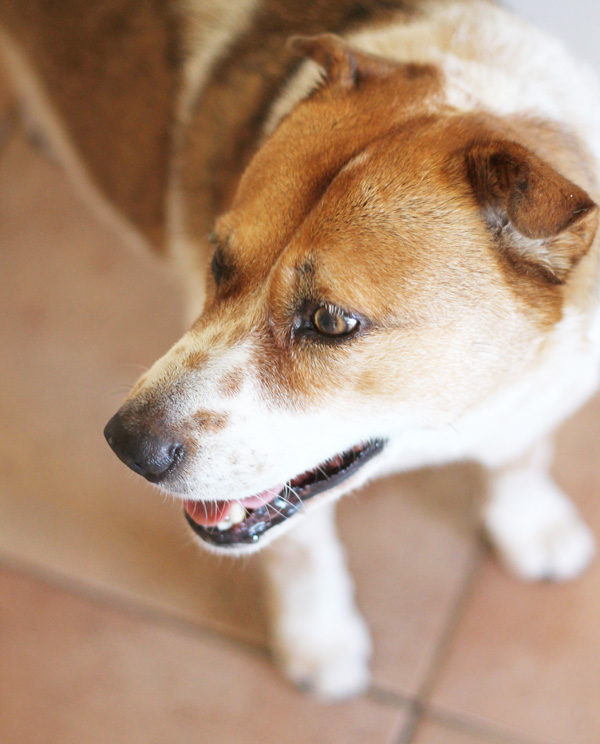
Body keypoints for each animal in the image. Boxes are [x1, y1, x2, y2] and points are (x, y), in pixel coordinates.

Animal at [3, 0, 600, 700]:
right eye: (217, 260)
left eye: (330, 321)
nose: (127, 447)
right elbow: (301, 550)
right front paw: (319, 641)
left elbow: (524, 456)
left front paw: (529, 523)